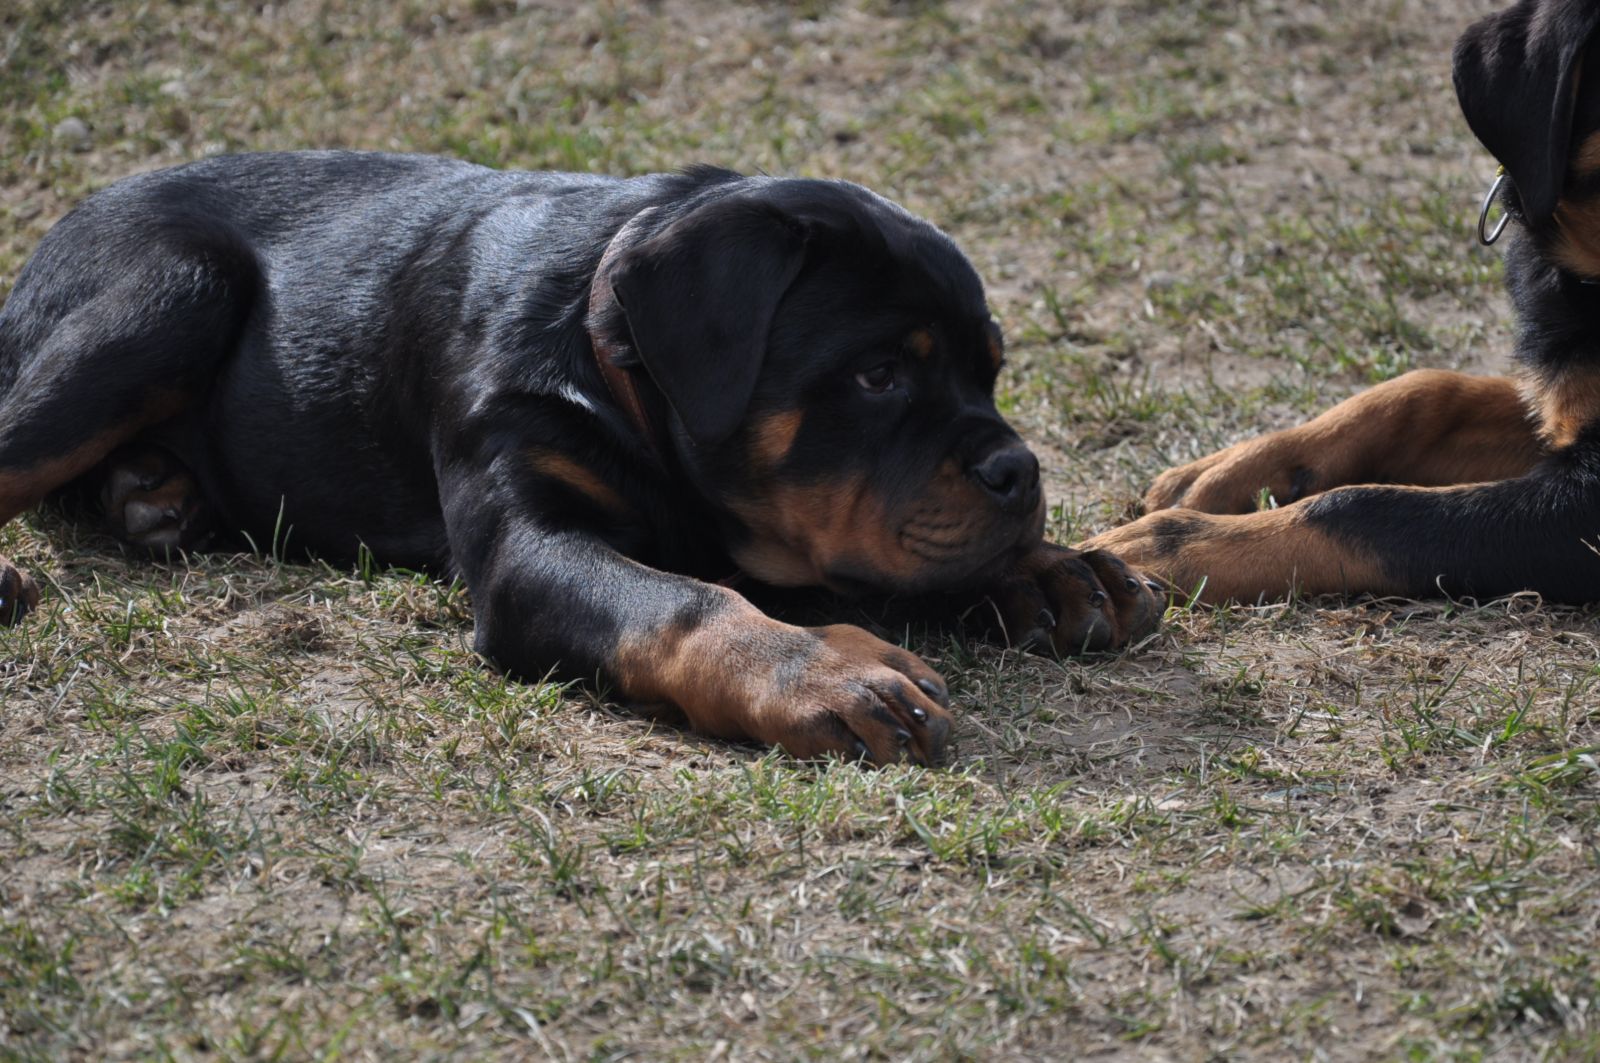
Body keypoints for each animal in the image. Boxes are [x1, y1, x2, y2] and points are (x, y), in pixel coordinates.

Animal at [0, 151, 1158, 765]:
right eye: (878, 375)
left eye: (991, 371)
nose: (1019, 472)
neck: (617, 374)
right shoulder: (533, 548)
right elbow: (687, 601)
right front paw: (823, 670)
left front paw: (1057, 570)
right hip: (175, 285)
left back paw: (153, 493)